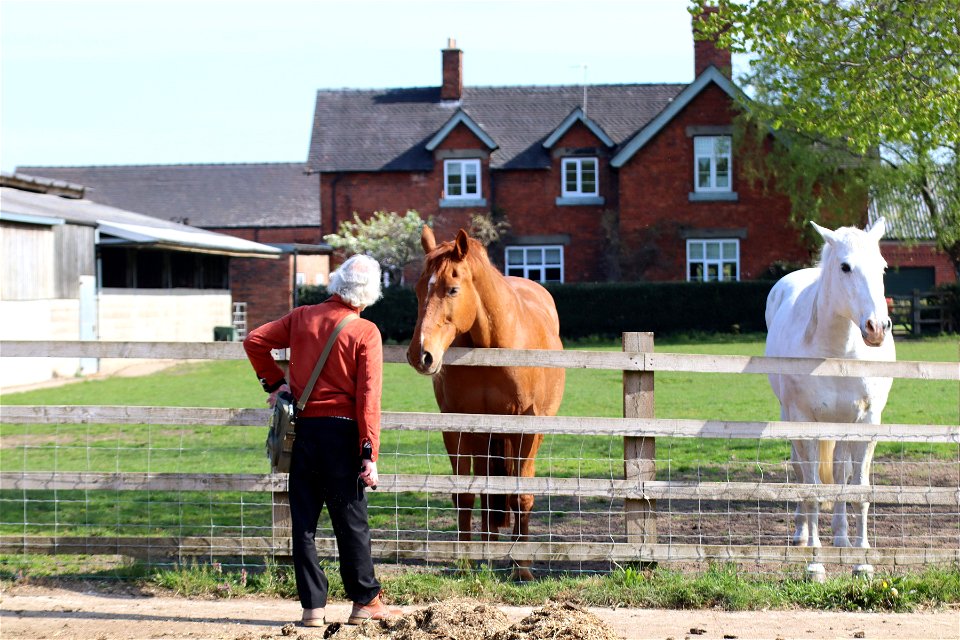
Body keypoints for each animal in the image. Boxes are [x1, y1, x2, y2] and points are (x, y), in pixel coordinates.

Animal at [404, 226, 564, 580]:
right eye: (418, 290)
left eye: (452, 289)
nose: (421, 354)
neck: (493, 344)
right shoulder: (457, 427)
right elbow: (464, 494)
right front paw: (465, 559)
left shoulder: (525, 429)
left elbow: (521, 495)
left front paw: (522, 568)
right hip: (484, 437)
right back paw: (486, 550)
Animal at [764, 218, 892, 548]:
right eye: (845, 267)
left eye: (883, 267)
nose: (876, 328)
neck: (837, 353)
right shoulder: (802, 420)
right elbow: (810, 486)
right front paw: (813, 546)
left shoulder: (866, 421)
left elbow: (856, 486)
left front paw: (861, 547)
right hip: (790, 416)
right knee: (800, 469)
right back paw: (802, 533)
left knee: (839, 471)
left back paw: (841, 536)